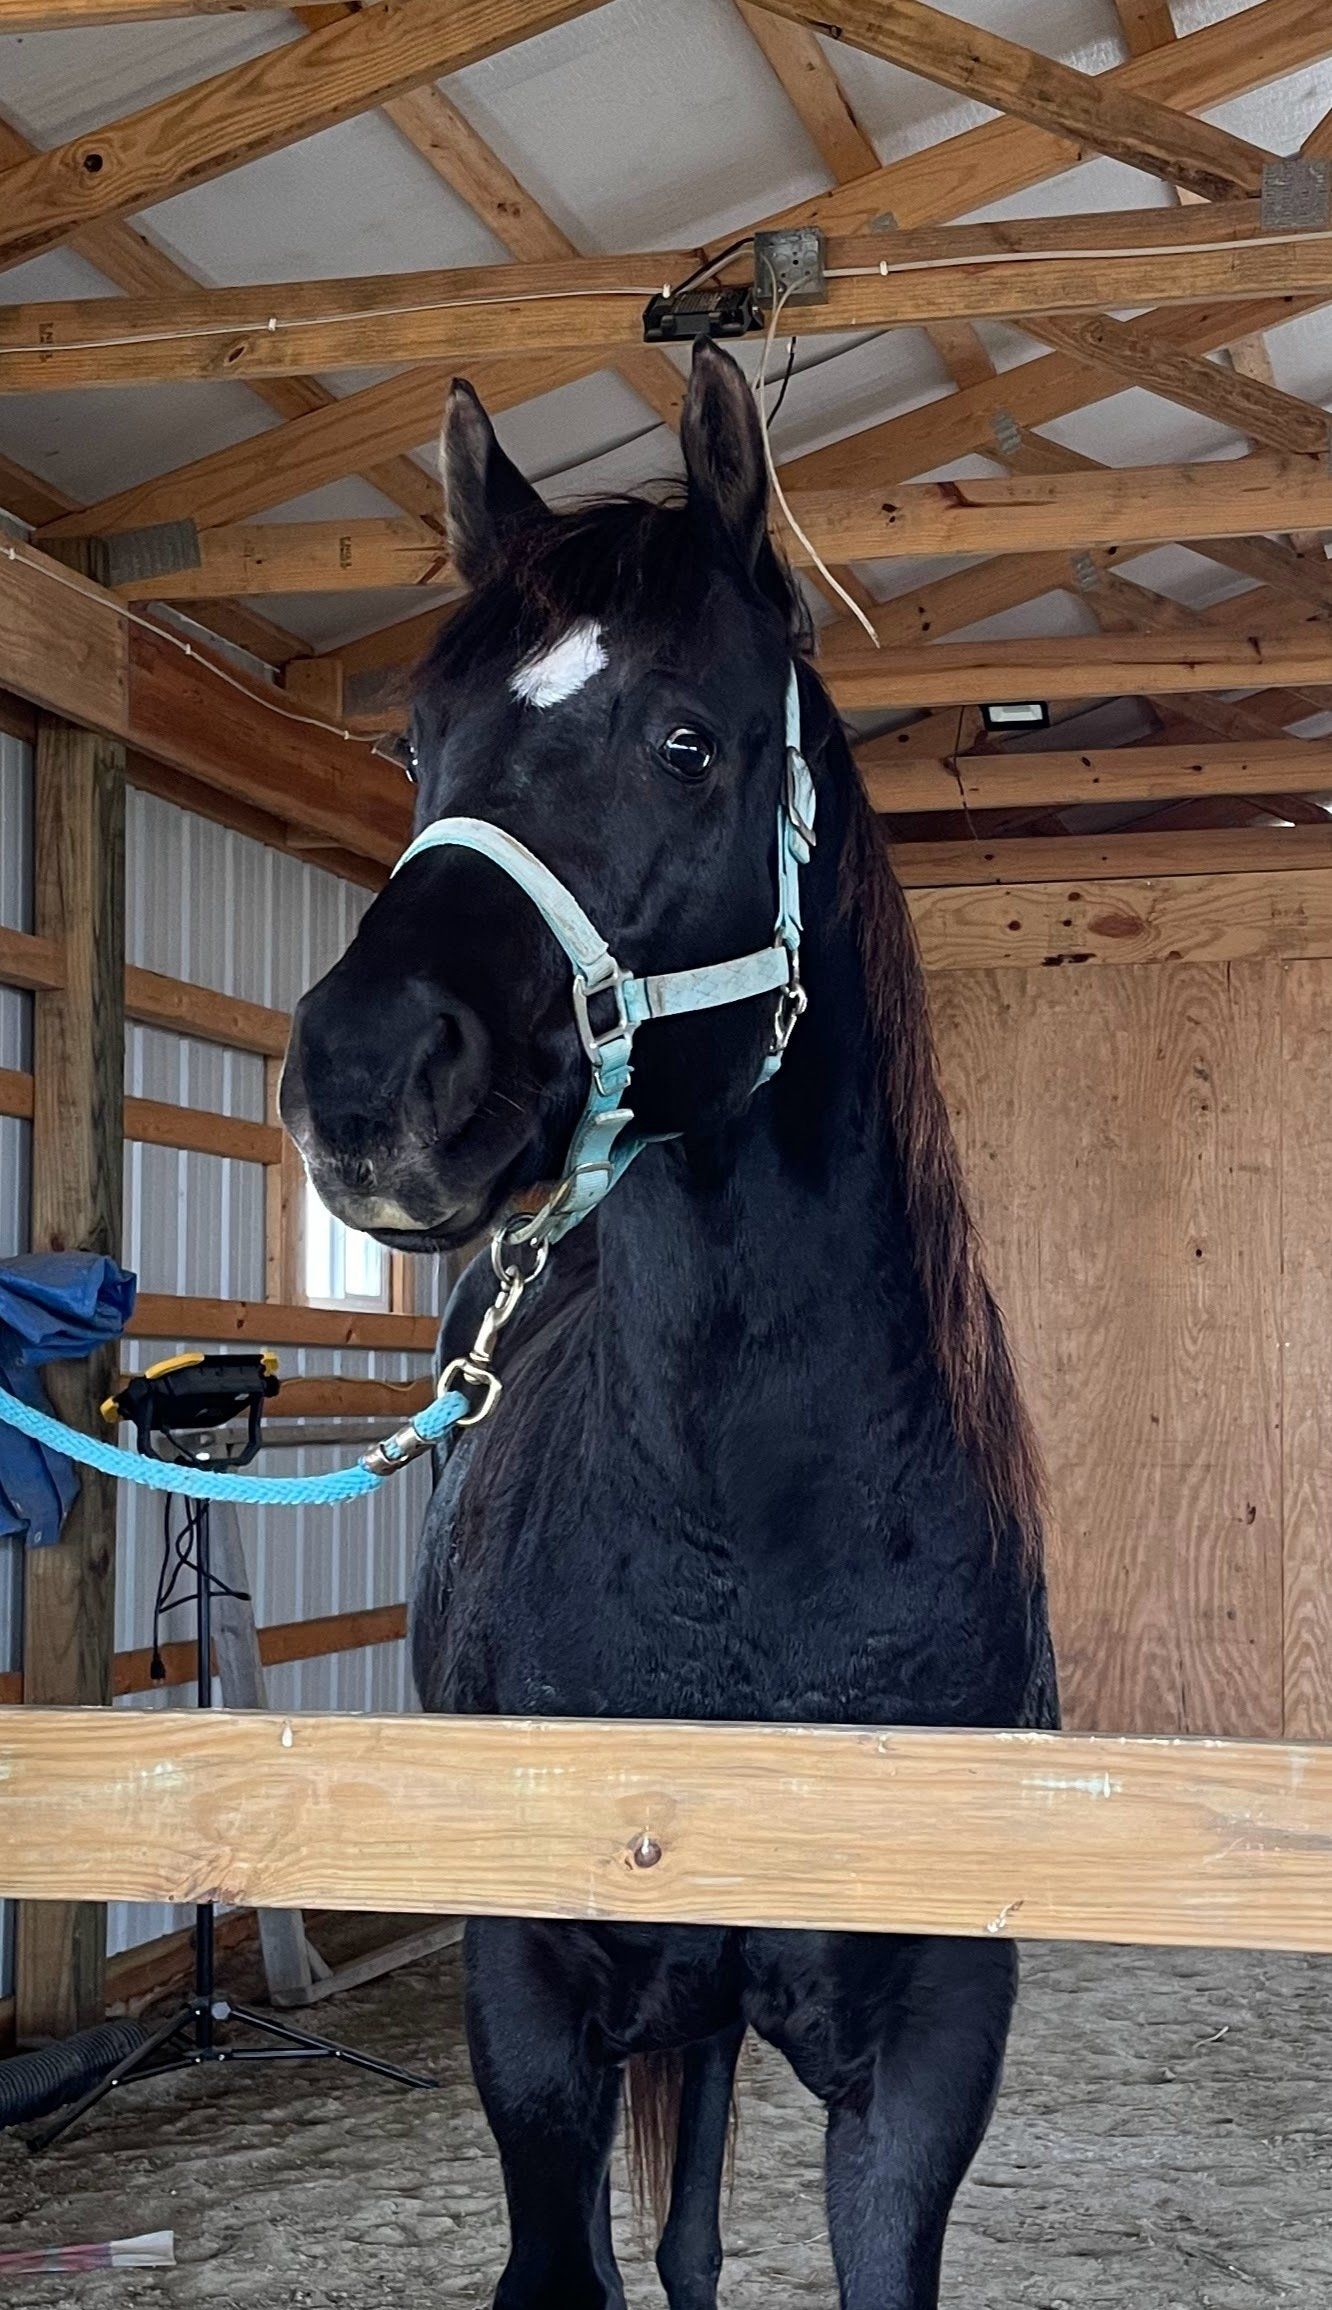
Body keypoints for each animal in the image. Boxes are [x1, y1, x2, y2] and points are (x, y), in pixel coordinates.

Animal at [280, 337, 1058, 2310]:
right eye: (418, 741)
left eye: (687, 739)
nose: (364, 1074)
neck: (754, 1554)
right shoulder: (531, 2016)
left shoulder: (927, 2056)